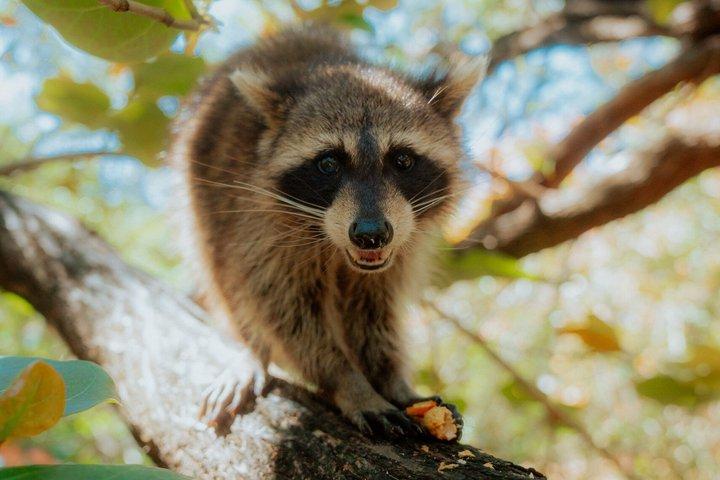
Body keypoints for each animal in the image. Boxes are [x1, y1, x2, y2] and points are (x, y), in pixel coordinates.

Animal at [171, 25, 481, 437]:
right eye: (329, 163)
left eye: (402, 159)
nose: (370, 234)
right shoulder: (258, 223)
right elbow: (282, 307)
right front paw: (347, 381)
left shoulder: (402, 244)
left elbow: (374, 310)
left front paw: (389, 377)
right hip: (200, 198)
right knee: (222, 274)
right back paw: (252, 349)